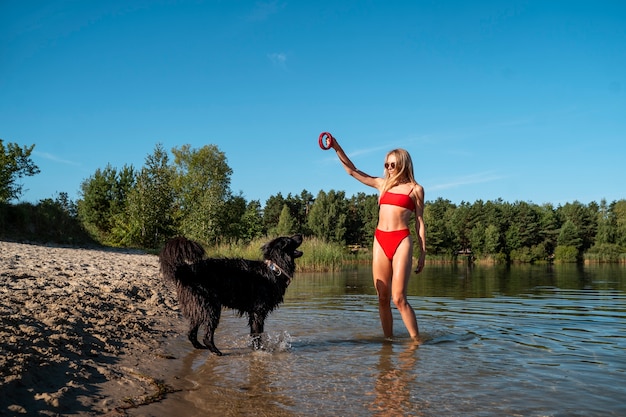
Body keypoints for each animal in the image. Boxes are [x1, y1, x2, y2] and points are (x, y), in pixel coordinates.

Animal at [157, 234, 302, 354]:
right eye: (290, 240)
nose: (300, 235)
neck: (274, 268)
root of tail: (187, 270)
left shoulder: (253, 313)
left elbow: (254, 333)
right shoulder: (258, 312)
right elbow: (257, 334)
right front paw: (260, 350)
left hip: (198, 308)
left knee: (191, 333)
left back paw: (199, 347)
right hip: (212, 308)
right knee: (207, 336)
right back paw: (215, 351)